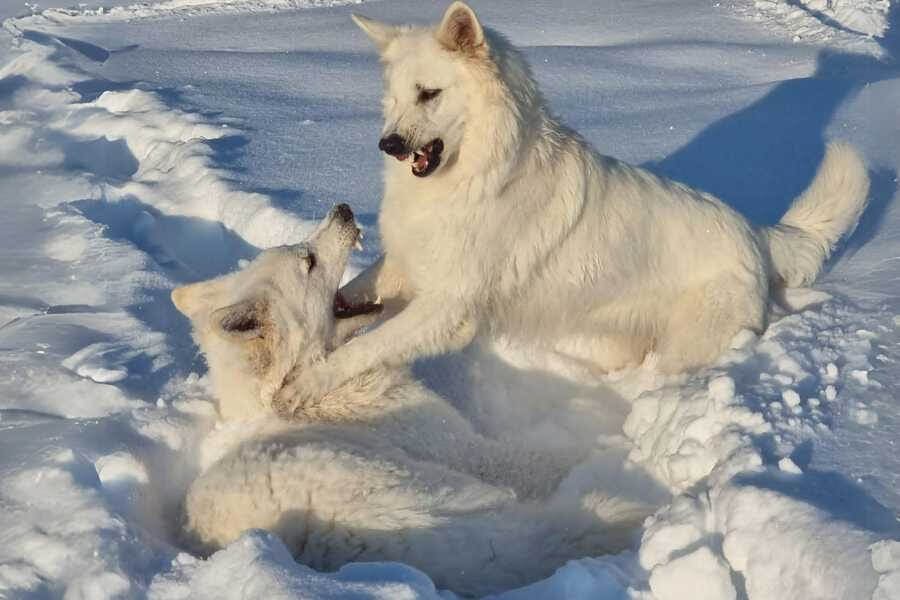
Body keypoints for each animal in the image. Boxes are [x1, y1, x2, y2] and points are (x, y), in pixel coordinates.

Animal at [276, 1, 872, 412]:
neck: (479, 173)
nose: (389, 145)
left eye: (429, 93)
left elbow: (364, 349)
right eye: (395, 98)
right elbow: (357, 294)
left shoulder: (448, 307)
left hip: (688, 350)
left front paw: (307, 382)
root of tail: (755, 232)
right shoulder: (409, 265)